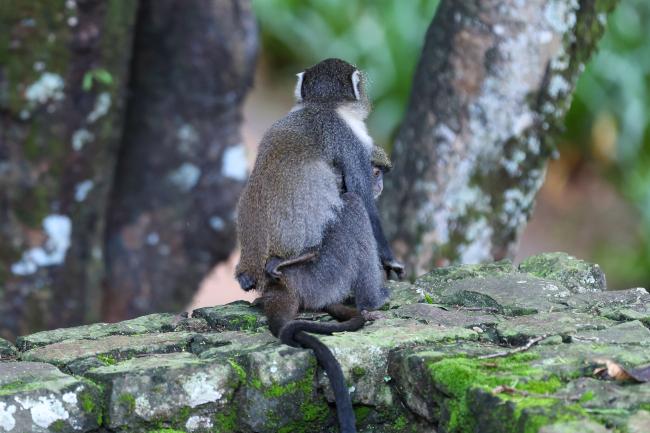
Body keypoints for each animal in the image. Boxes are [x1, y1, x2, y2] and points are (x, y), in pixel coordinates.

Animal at [235, 59, 403, 433]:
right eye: (377, 173)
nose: (382, 184)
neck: (320, 108)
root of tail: (280, 286)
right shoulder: (350, 140)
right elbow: (361, 197)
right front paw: (390, 263)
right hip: (321, 274)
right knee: (353, 207)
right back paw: (374, 300)